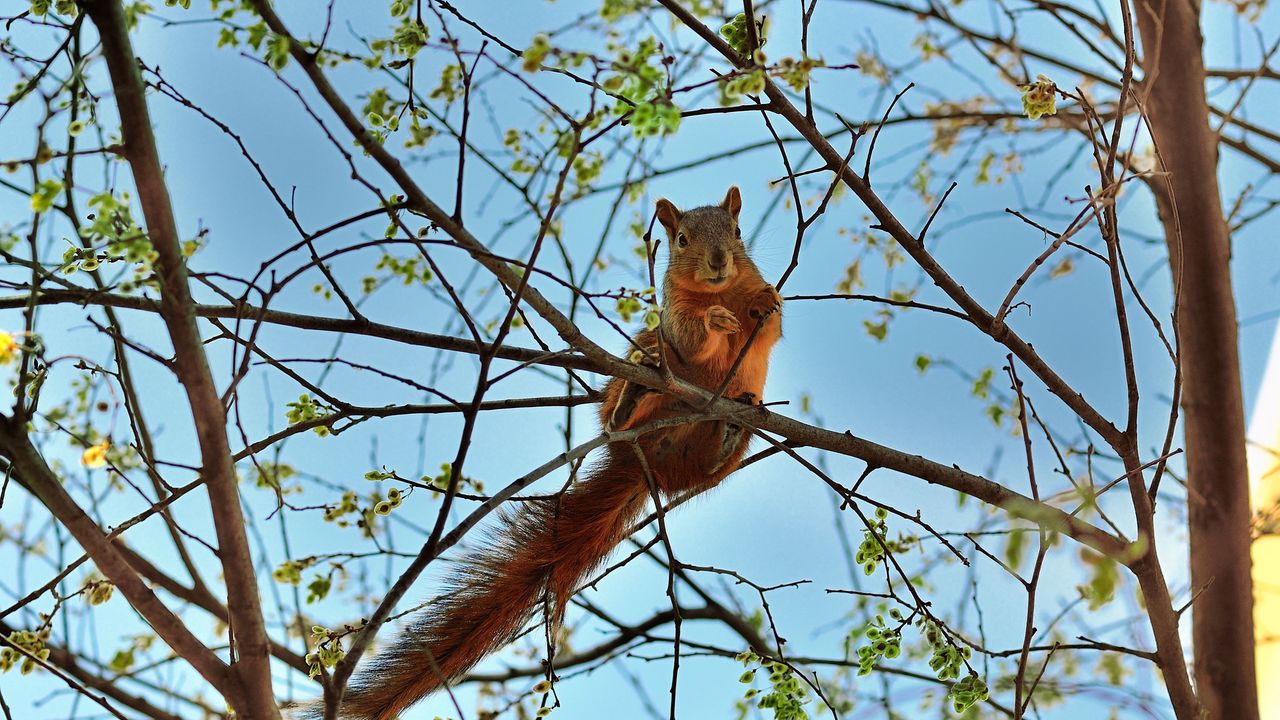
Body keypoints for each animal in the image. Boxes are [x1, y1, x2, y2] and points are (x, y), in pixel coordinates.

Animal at [337, 185, 778, 717]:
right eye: (681, 239)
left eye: (737, 232)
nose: (718, 262)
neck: (719, 291)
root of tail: (643, 462)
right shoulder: (671, 320)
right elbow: (691, 340)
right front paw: (714, 319)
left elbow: (769, 327)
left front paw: (766, 300)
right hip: (642, 357)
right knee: (633, 390)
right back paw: (629, 403)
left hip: (731, 443)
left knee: (713, 459)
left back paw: (725, 434)